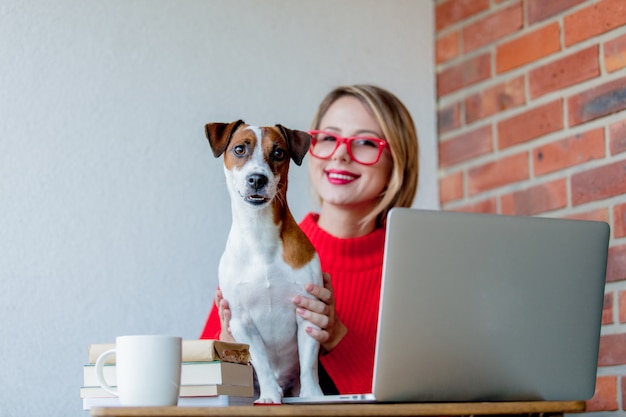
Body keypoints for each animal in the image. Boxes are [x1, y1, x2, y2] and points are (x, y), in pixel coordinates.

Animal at [205, 120, 324, 404]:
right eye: (239, 149)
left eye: (278, 152)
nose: (257, 178)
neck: (259, 235)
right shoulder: (241, 321)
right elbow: (261, 361)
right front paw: (270, 394)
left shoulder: (308, 313)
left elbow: (308, 364)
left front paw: (312, 395)